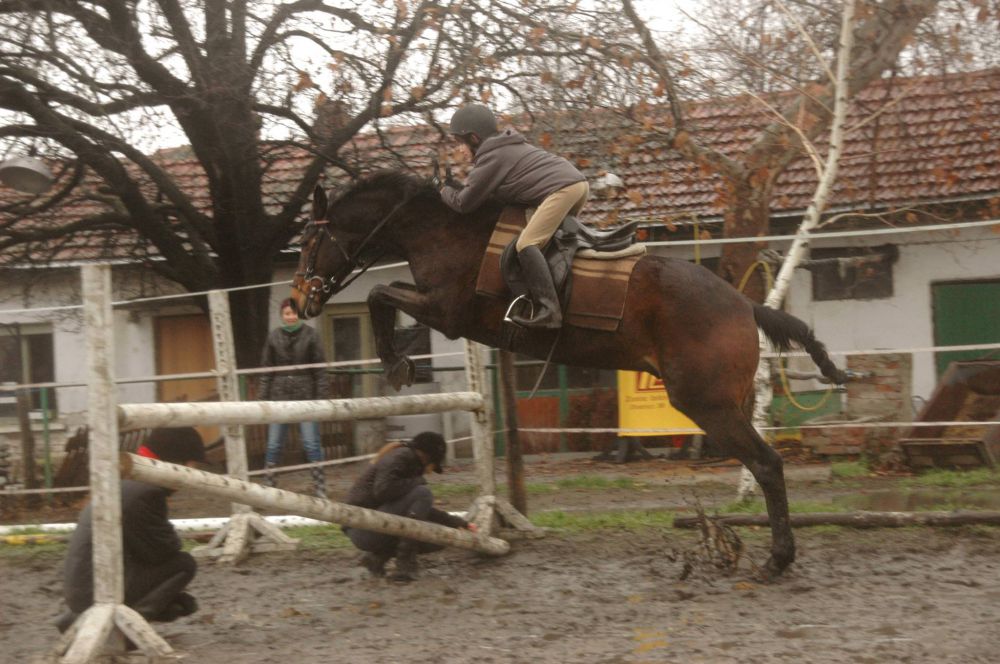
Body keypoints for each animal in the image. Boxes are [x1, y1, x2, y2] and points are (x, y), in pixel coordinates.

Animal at [292, 170, 848, 576]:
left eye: (308, 244)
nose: (299, 302)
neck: (440, 230)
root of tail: (743, 305)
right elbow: (382, 297)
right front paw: (398, 361)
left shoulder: (447, 313)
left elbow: (376, 294)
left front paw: (395, 364)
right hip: (719, 402)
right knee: (763, 463)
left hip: (705, 403)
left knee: (767, 465)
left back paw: (777, 560)